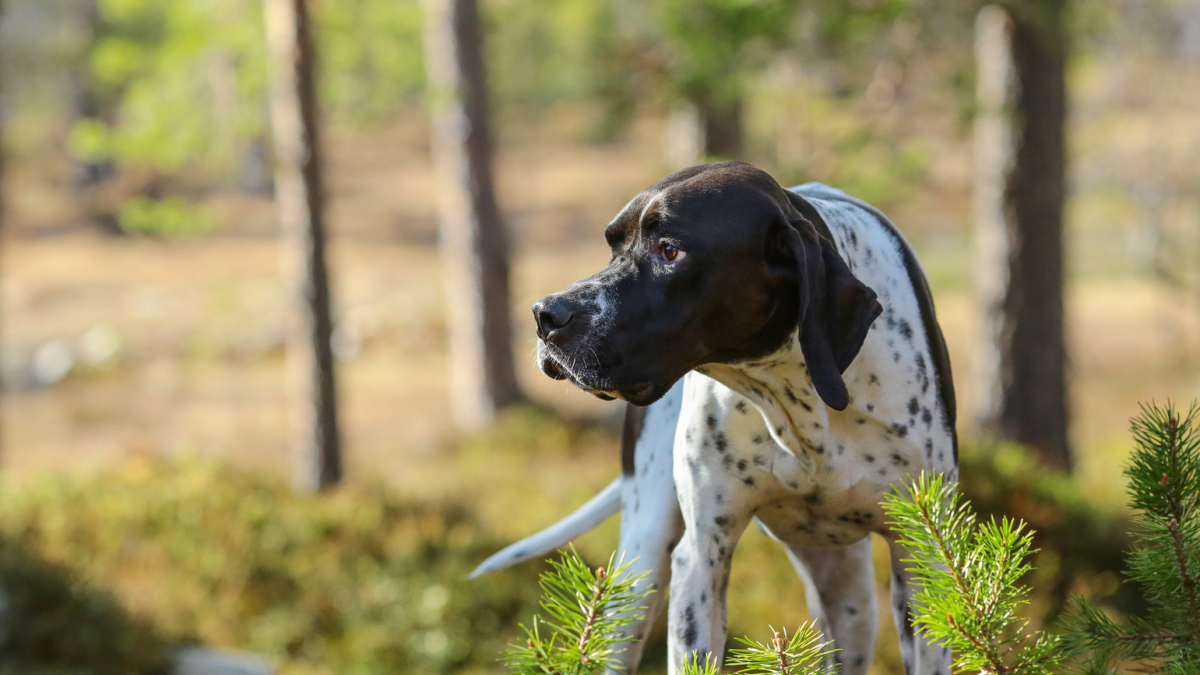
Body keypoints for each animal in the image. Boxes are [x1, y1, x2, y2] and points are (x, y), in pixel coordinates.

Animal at [468, 163, 955, 672]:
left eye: (670, 250)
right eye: (612, 245)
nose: (544, 315)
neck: (798, 399)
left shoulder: (924, 558)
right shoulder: (701, 560)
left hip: (851, 602)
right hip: (641, 569)